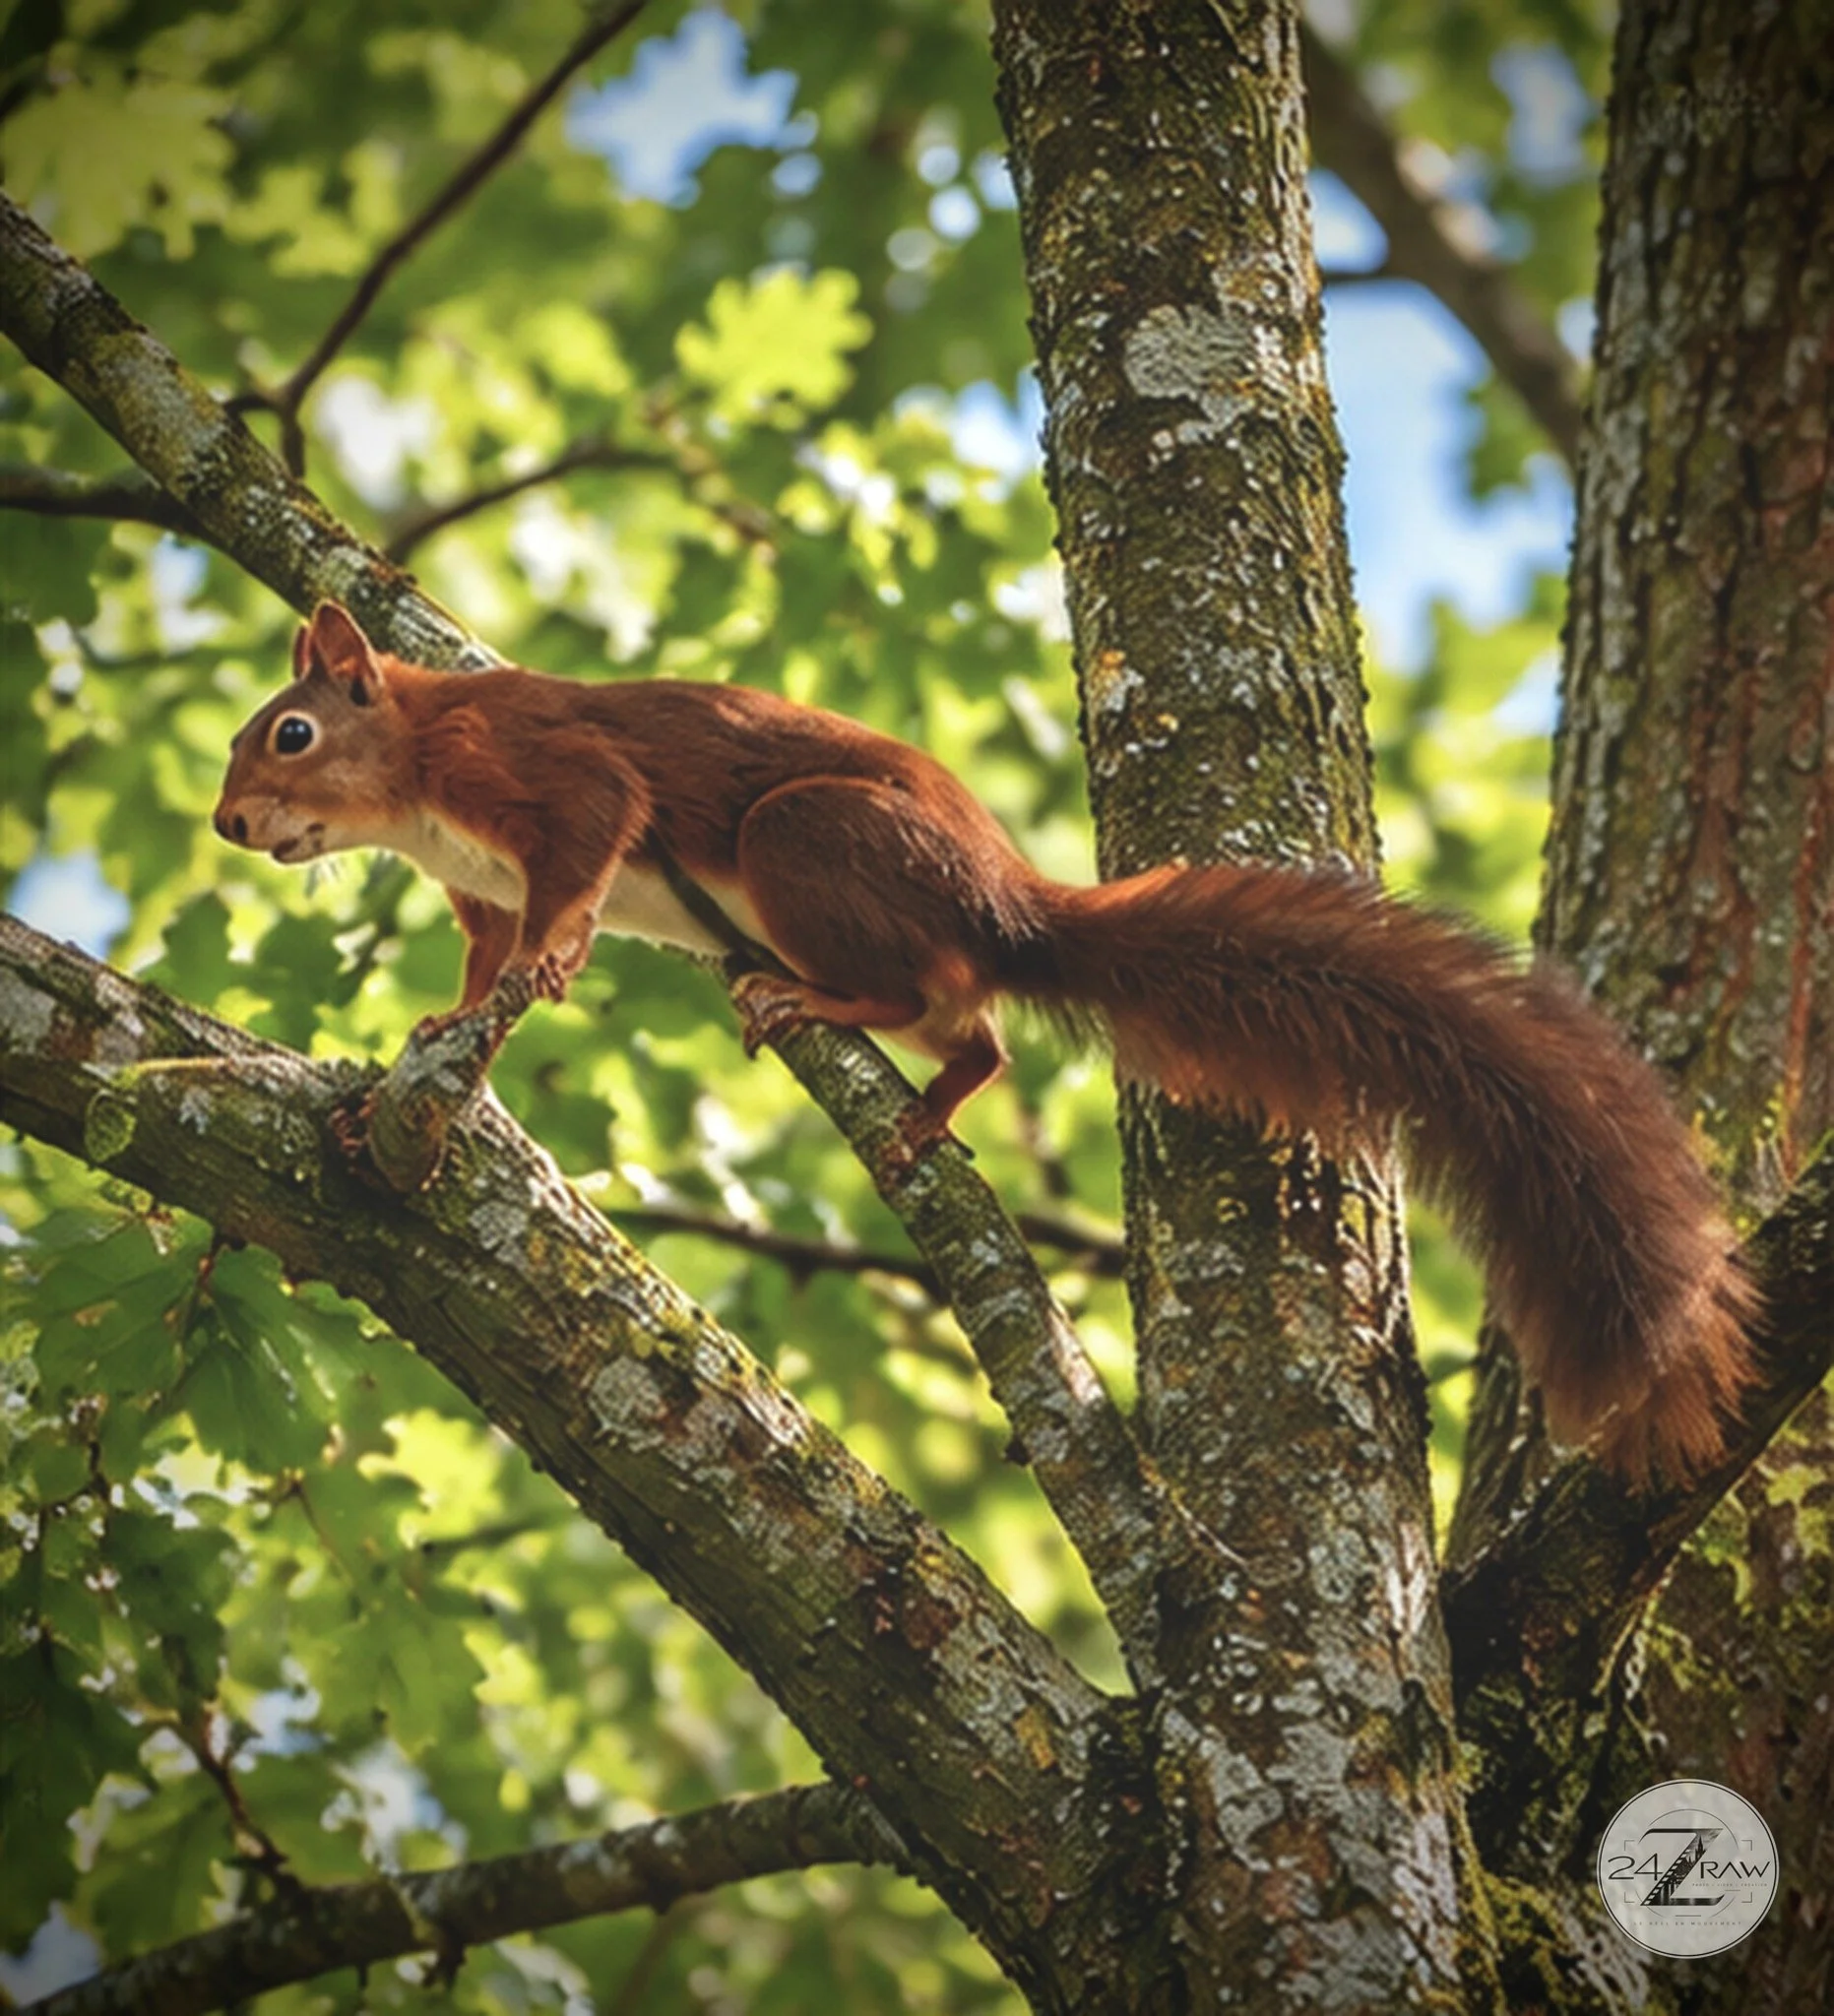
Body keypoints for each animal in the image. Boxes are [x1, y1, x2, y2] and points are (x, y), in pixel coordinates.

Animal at [215, 602, 1757, 1485]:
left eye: (287, 732)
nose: (227, 824)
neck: (416, 782)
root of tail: (1008, 898)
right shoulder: (473, 881)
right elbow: (480, 963)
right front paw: (449, 1018)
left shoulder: (548, 776)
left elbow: (586, 853)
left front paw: (555, 959)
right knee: (982, 1041)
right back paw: (923, 1099)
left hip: (807, 844)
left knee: (941, 994)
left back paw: (825, 1010)